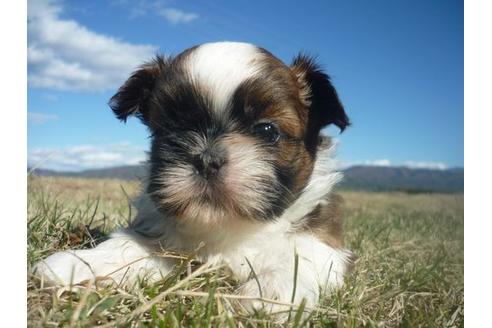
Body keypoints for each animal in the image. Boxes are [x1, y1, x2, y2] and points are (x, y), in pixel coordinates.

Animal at [35, 41, 358, 312]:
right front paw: (81, 263)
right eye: (171, 128)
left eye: (267, 130)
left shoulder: (322, 237)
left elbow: (301, 256)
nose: (206, 159)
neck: (226, 227)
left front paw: (268, 295)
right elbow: (128, 245)